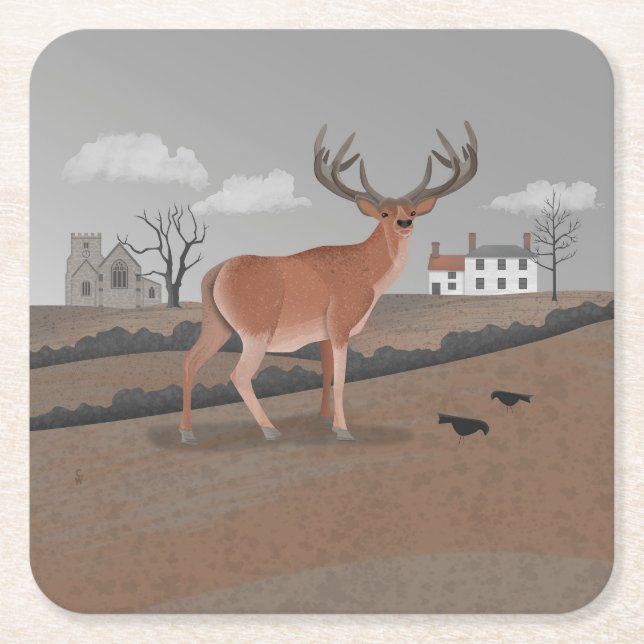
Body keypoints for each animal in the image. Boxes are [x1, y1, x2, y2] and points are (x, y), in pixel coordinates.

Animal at [178, 122, 478, 444]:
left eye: (412, 211)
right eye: (384, 213)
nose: (404, 223)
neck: (367, 276)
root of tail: (215, 272)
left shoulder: (322, 332)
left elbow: (327, 372)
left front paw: (324, 419)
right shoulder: (340, 323)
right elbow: (343, 377)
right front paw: (343, 429)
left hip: (217, 323)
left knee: (189, 360)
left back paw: (187, 432)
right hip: (256, 327)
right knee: (239, 375)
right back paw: (270, 429)